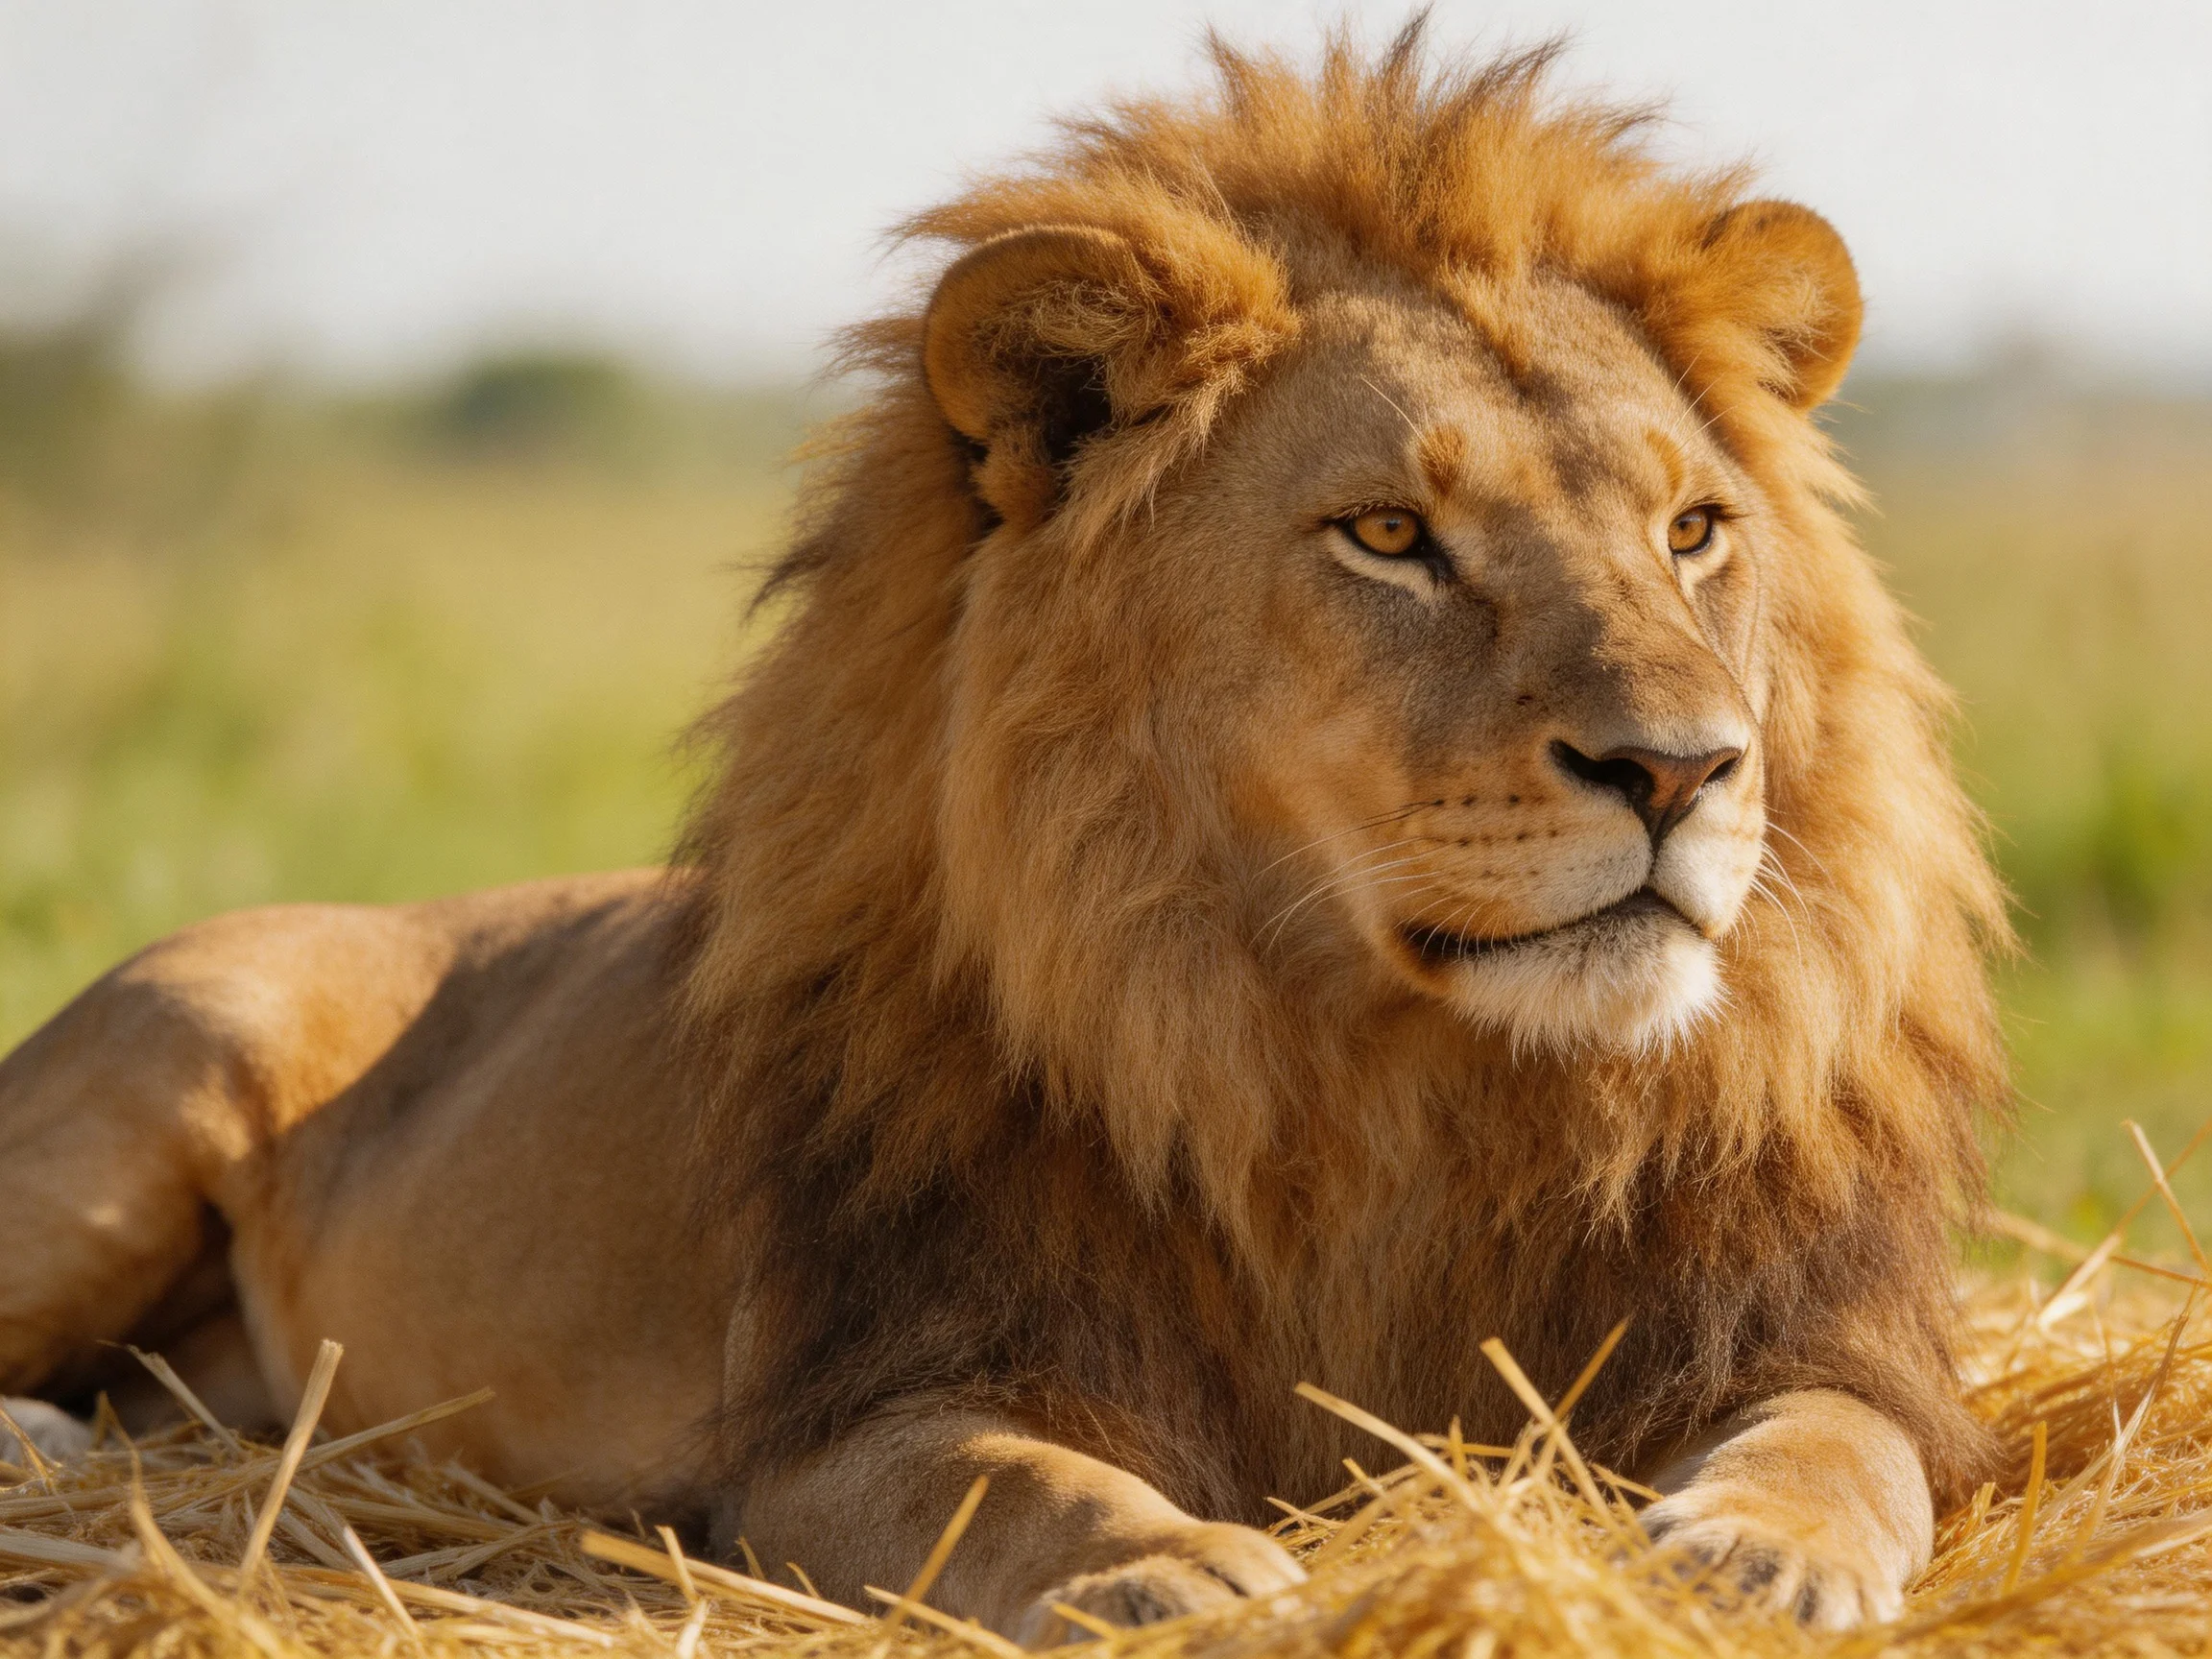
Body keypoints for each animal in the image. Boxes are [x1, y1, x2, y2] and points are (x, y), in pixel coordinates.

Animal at [1, 28, 2008, 1640]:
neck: (1383, 1077)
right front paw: (1174, 1568)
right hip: (161, 1065)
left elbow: (1844, 1441)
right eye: (1386, 537)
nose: (1681, 768)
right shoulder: (844, 1416)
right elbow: (1016, 1476)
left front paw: (1751, 1554)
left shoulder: (1802, 1328)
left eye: (1688, 531)